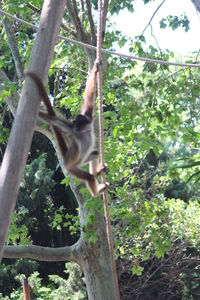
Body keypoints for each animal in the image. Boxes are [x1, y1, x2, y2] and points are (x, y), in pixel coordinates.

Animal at [25, 60, 108, 197]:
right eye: (76, 123)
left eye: (80, 123)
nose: (76, 126)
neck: (83, 132)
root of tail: (67, 160)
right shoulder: (70, 129)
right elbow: (52, 120)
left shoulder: (88, 117)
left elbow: (89, 97)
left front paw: (96, 68)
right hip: (72, 168)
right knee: (89, 177)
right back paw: (97, 191)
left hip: (82, 161)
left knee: (95, 153)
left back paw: (96, 172)